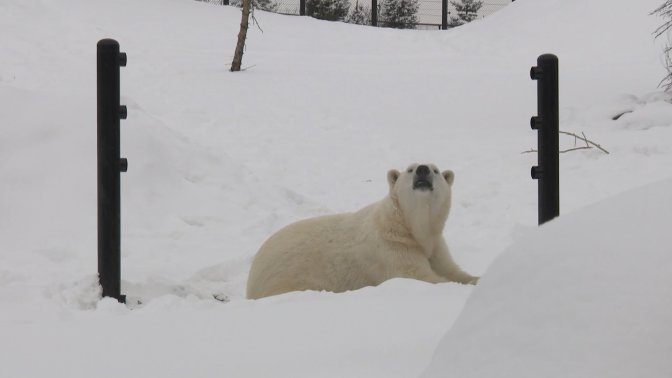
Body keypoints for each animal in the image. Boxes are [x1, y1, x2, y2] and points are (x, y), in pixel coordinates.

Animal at [247, 164, 478, 300]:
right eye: (410, 169)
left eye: (436, 170)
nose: (423, 169)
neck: (408, 227)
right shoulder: (391, 249)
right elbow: (422, 276)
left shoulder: (435, 246)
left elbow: (452, 270)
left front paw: (476, 279)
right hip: (288, 278)